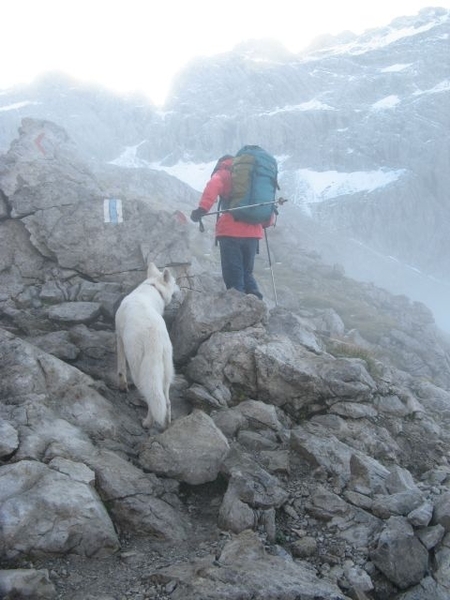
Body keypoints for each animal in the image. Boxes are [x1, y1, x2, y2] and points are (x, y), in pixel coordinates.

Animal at [115, 264, 177, 432]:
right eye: (175, 282)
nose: (179, 289)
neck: (152, 288)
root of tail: (155, 341)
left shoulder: (119, 337)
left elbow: (121, 368)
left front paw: (122, 386)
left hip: (139, 369)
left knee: (152, 397)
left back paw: (147, 423)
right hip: (166, 371)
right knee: (166, 401)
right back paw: (166, 425)